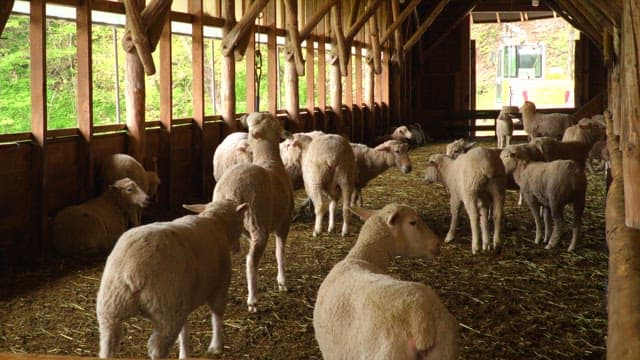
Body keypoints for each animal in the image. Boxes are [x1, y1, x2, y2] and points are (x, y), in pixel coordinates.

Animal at [96, 198, 249, 358]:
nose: (238, 248)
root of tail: (133, 270)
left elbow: (184, 330)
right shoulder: (220, 285)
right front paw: (216, 346)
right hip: (167, 309)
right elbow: (217, 315)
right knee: (157, 349)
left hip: (110, 308)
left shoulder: (184, 301)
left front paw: (184, 353)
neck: (215, 221)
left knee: (107, 345)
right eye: (241, 219)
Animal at [211, 112, 294, 312]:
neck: (269, 158)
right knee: (250, 261)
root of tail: (232, 192)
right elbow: (280, 251)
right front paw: (282, 282)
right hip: (259, 223)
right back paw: (253, 300)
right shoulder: (284, 221)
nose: (244, 116)